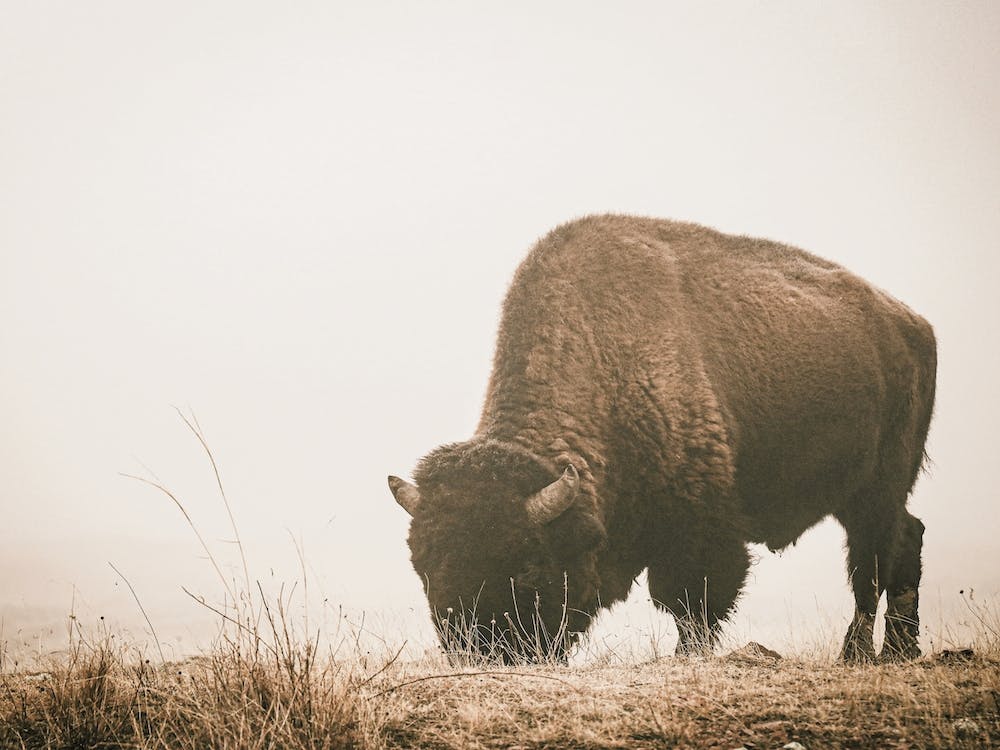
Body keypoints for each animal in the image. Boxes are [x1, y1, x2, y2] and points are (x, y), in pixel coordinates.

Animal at [389, 214, 936, 663]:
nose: (478, 652)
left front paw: (687, 657)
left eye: (527, 566)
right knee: (906, 540)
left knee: (871, 563)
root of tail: (913, 324)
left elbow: (693, 600)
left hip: (877, 489)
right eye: (424, 567)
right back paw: (900, 652)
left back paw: (858, 654)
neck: (604, 359)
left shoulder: (699, 527)